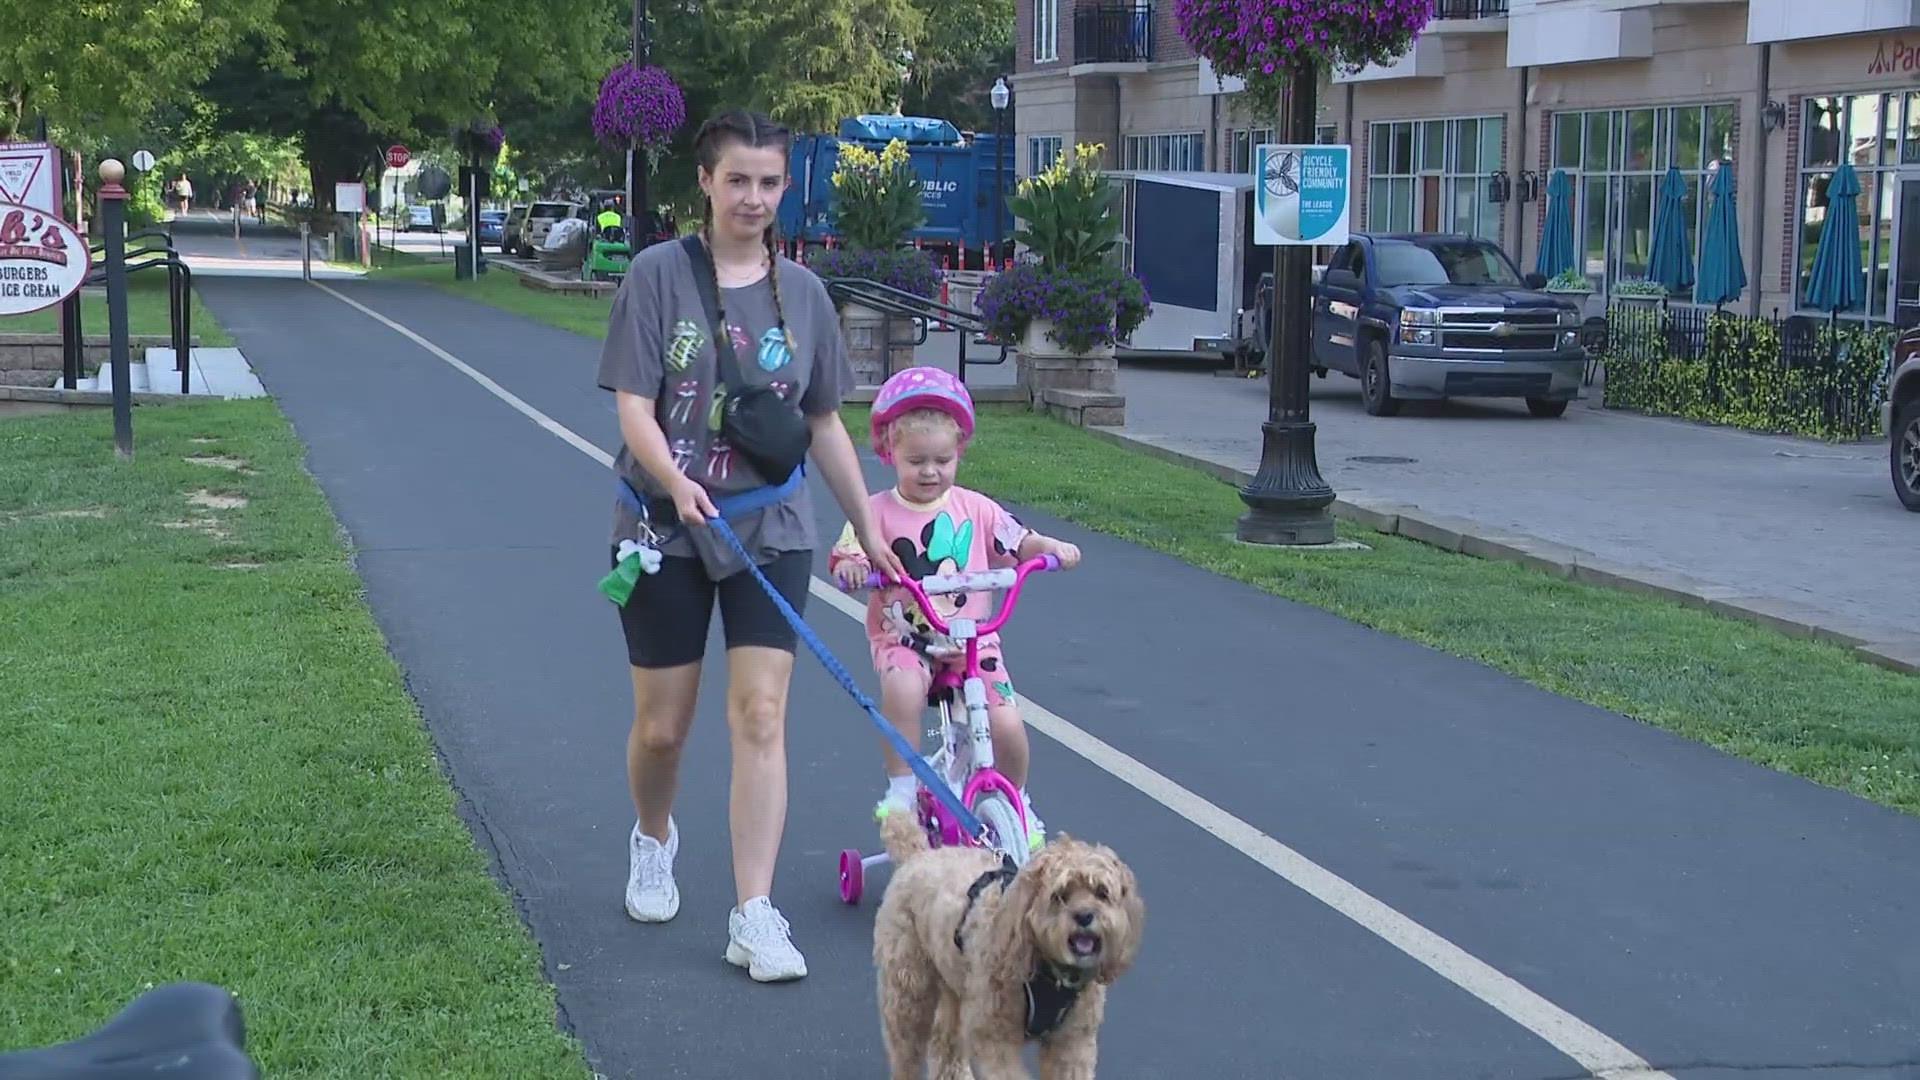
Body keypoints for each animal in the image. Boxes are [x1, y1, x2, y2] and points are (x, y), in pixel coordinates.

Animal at [879, 803, 1144, 1068]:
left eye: (1101, 893)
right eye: (1059, 895)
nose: (1085, 916)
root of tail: (918, 856)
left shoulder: (1072, 1044)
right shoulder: (993, 1038)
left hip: (953, 986)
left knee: (945, 1048)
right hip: (908, 992)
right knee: (905, 1052)